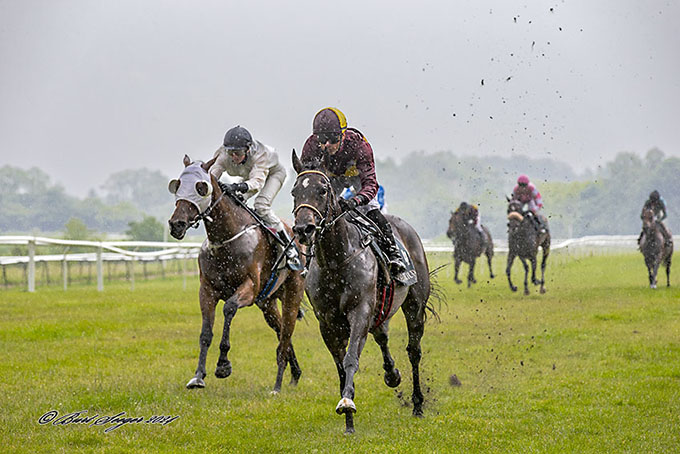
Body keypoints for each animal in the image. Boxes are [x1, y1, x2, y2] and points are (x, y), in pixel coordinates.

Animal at [167, 155, 306, 394]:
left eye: (201, 187)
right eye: (178, 185)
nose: (177, 224)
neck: (226, 238)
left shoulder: (249, 288)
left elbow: (229, 308)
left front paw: (223, 365)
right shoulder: (207, 291)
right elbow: (205, 333)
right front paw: (198, 376)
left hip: (292, 292)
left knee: (287, 330)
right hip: (267, 303)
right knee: (281, 331)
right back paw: (295, 373)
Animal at [290, 151, 430, 434]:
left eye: (323, 190)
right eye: (294, 191)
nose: (302, 229)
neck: (336, 260)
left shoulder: (360, 312)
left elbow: (351, 358)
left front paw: (347, 403)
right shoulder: (328, 323)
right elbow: (340, 367)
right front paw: (348, 421)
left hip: (415, 305)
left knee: (414, 350)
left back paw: (418, 404)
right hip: (379, 311)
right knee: (382, 336)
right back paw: (392, 374)